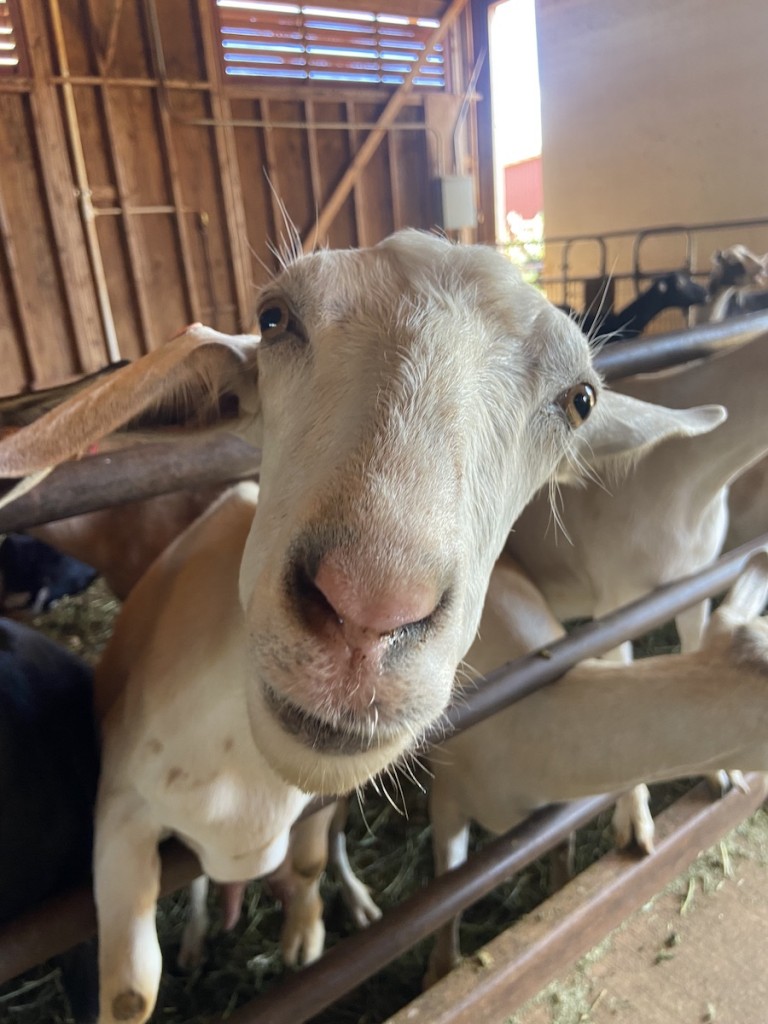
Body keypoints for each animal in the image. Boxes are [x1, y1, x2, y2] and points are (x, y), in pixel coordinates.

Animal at [0, 230, 621, 1023]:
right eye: (273, 318)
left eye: (580, 400)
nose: (370, 610)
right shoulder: (119, 815)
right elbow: (133, 991)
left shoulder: (320, 802)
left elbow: (311, 863)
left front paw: (305, 935)